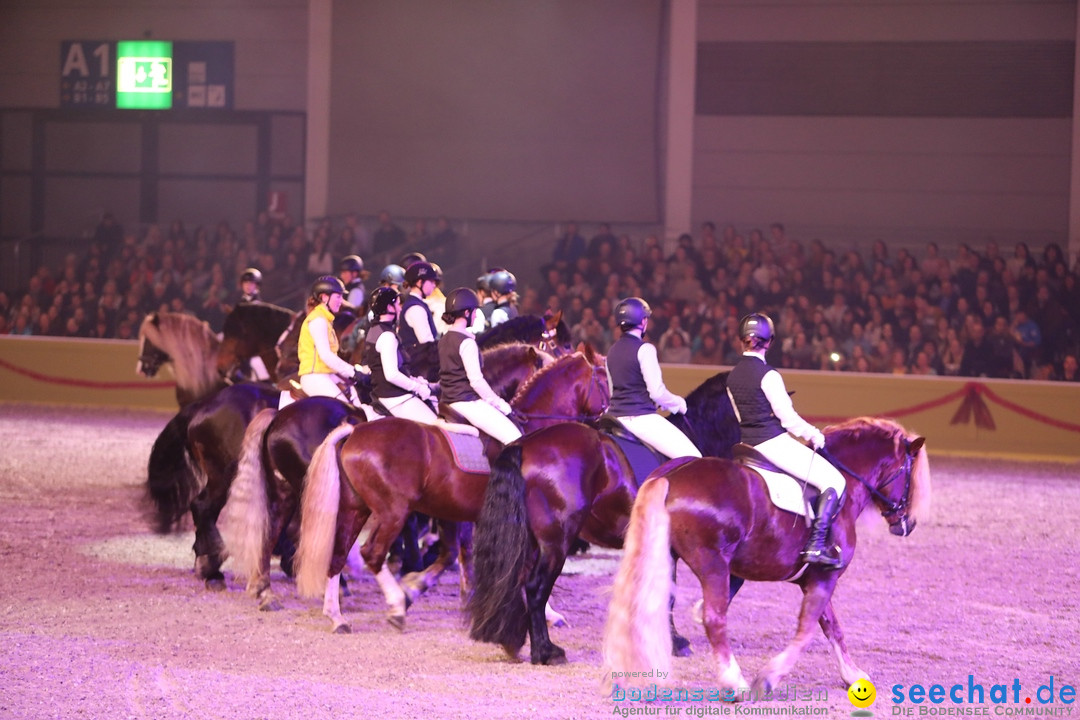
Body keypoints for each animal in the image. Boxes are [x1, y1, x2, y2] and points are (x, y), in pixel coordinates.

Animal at [291, 345, 613, 634]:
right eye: (603, 379)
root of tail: (354, 431)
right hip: (392, 511)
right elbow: (521, 564)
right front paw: (547, 613)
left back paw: (337, 616)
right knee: (372, 553)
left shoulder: (455, 513)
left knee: (338, 552)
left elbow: (455, 555)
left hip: (355, 508)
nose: (608, 421)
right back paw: (394, 606)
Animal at [464, 371, 743, 664]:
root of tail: (524, 444)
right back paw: (546, 651)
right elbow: (667, 594)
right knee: (536, 588)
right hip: (556, 542)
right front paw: (675, 643)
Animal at [604, 416, 933, 699]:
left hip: (668, 559)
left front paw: (852, 675)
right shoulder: (825, 576)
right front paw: (768, 678)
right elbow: (807, 629)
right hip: (711, 563)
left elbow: (832, 626)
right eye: (911, 477)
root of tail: (671, 476)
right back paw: (734, 683)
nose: (907, 525)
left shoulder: (811, 578)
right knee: (714, 618)